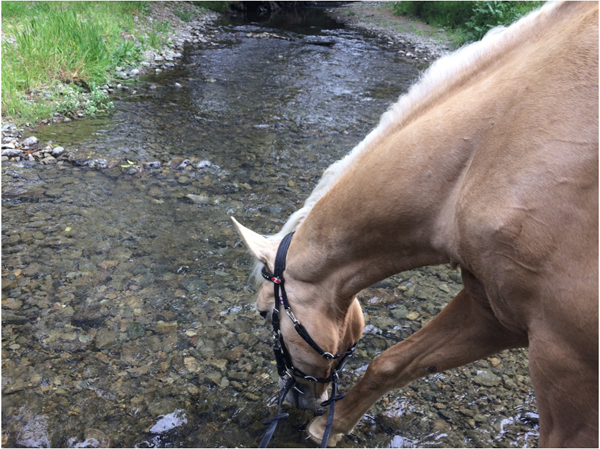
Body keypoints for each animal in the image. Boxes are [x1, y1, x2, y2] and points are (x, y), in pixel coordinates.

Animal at [232, 2, 596, 444]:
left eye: (264, 313)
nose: (300, 400)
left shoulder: (565, 359)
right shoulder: (493, 311)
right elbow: (393, 363)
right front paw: (327, 429)